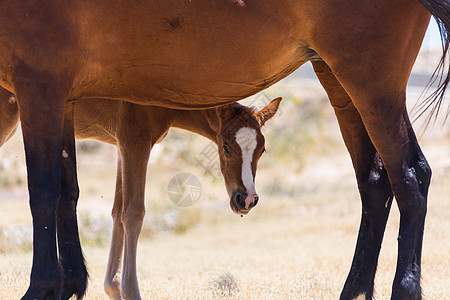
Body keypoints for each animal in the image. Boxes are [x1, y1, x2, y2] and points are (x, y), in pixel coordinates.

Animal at [0, 92, 282, 300]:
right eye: (225, 147)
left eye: (262, 150)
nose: (246, 199)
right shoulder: (135, 141)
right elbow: (134, 213)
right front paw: (130, 290)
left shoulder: (120, 147)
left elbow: (117, 212)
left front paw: (113, 287)